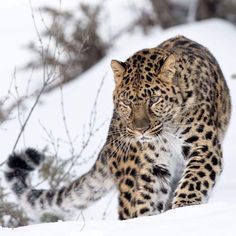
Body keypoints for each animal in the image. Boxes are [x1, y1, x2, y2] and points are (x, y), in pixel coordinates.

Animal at [4, 36, 231, 220]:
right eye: (127, 102)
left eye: (154, 100)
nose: (140, 130)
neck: (168, 130)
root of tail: (108, 142)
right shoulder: (153, 165)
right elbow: (146, 199)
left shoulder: (203, 146)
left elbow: (194, 181)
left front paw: (184, 209)